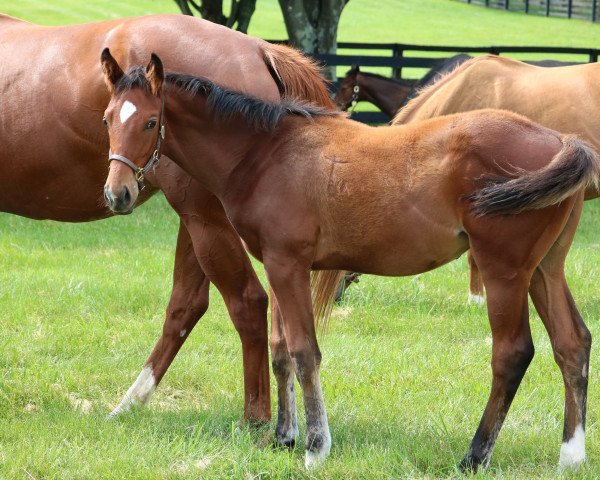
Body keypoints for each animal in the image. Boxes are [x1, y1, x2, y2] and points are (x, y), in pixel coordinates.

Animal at [0, 13, 336, 422]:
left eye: (148, 123)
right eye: (107, 121)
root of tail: (259, 49)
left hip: (204, 220)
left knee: (246, 300)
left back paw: (255, 418)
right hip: (199, 224)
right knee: (191, 305)